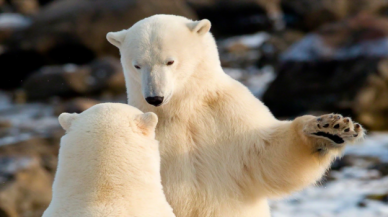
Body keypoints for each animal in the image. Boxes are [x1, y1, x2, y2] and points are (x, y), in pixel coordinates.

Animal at [105, 14, 364, 217]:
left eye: (170, 61)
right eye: (137, 65)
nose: (155, 98)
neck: (180, 108)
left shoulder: (228, 113)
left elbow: (268, 156)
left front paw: (330, 129)